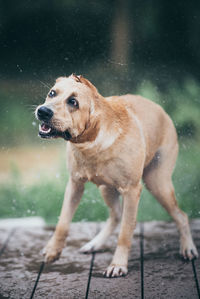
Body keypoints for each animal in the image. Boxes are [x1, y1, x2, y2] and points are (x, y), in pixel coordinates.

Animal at [35, 75, 198, 278]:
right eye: (52, 93)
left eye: (73, 102)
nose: (42, 111)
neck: (91, 143)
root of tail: (159, 108)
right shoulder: (74, 184)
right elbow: (63, 222)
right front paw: (52, 250)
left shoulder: (132, 191)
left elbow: (125, 234)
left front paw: (118, 264)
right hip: (107, 189)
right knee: (116, 215)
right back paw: (95, 243)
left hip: (158, 184)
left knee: (181, 216)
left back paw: (188, 248)